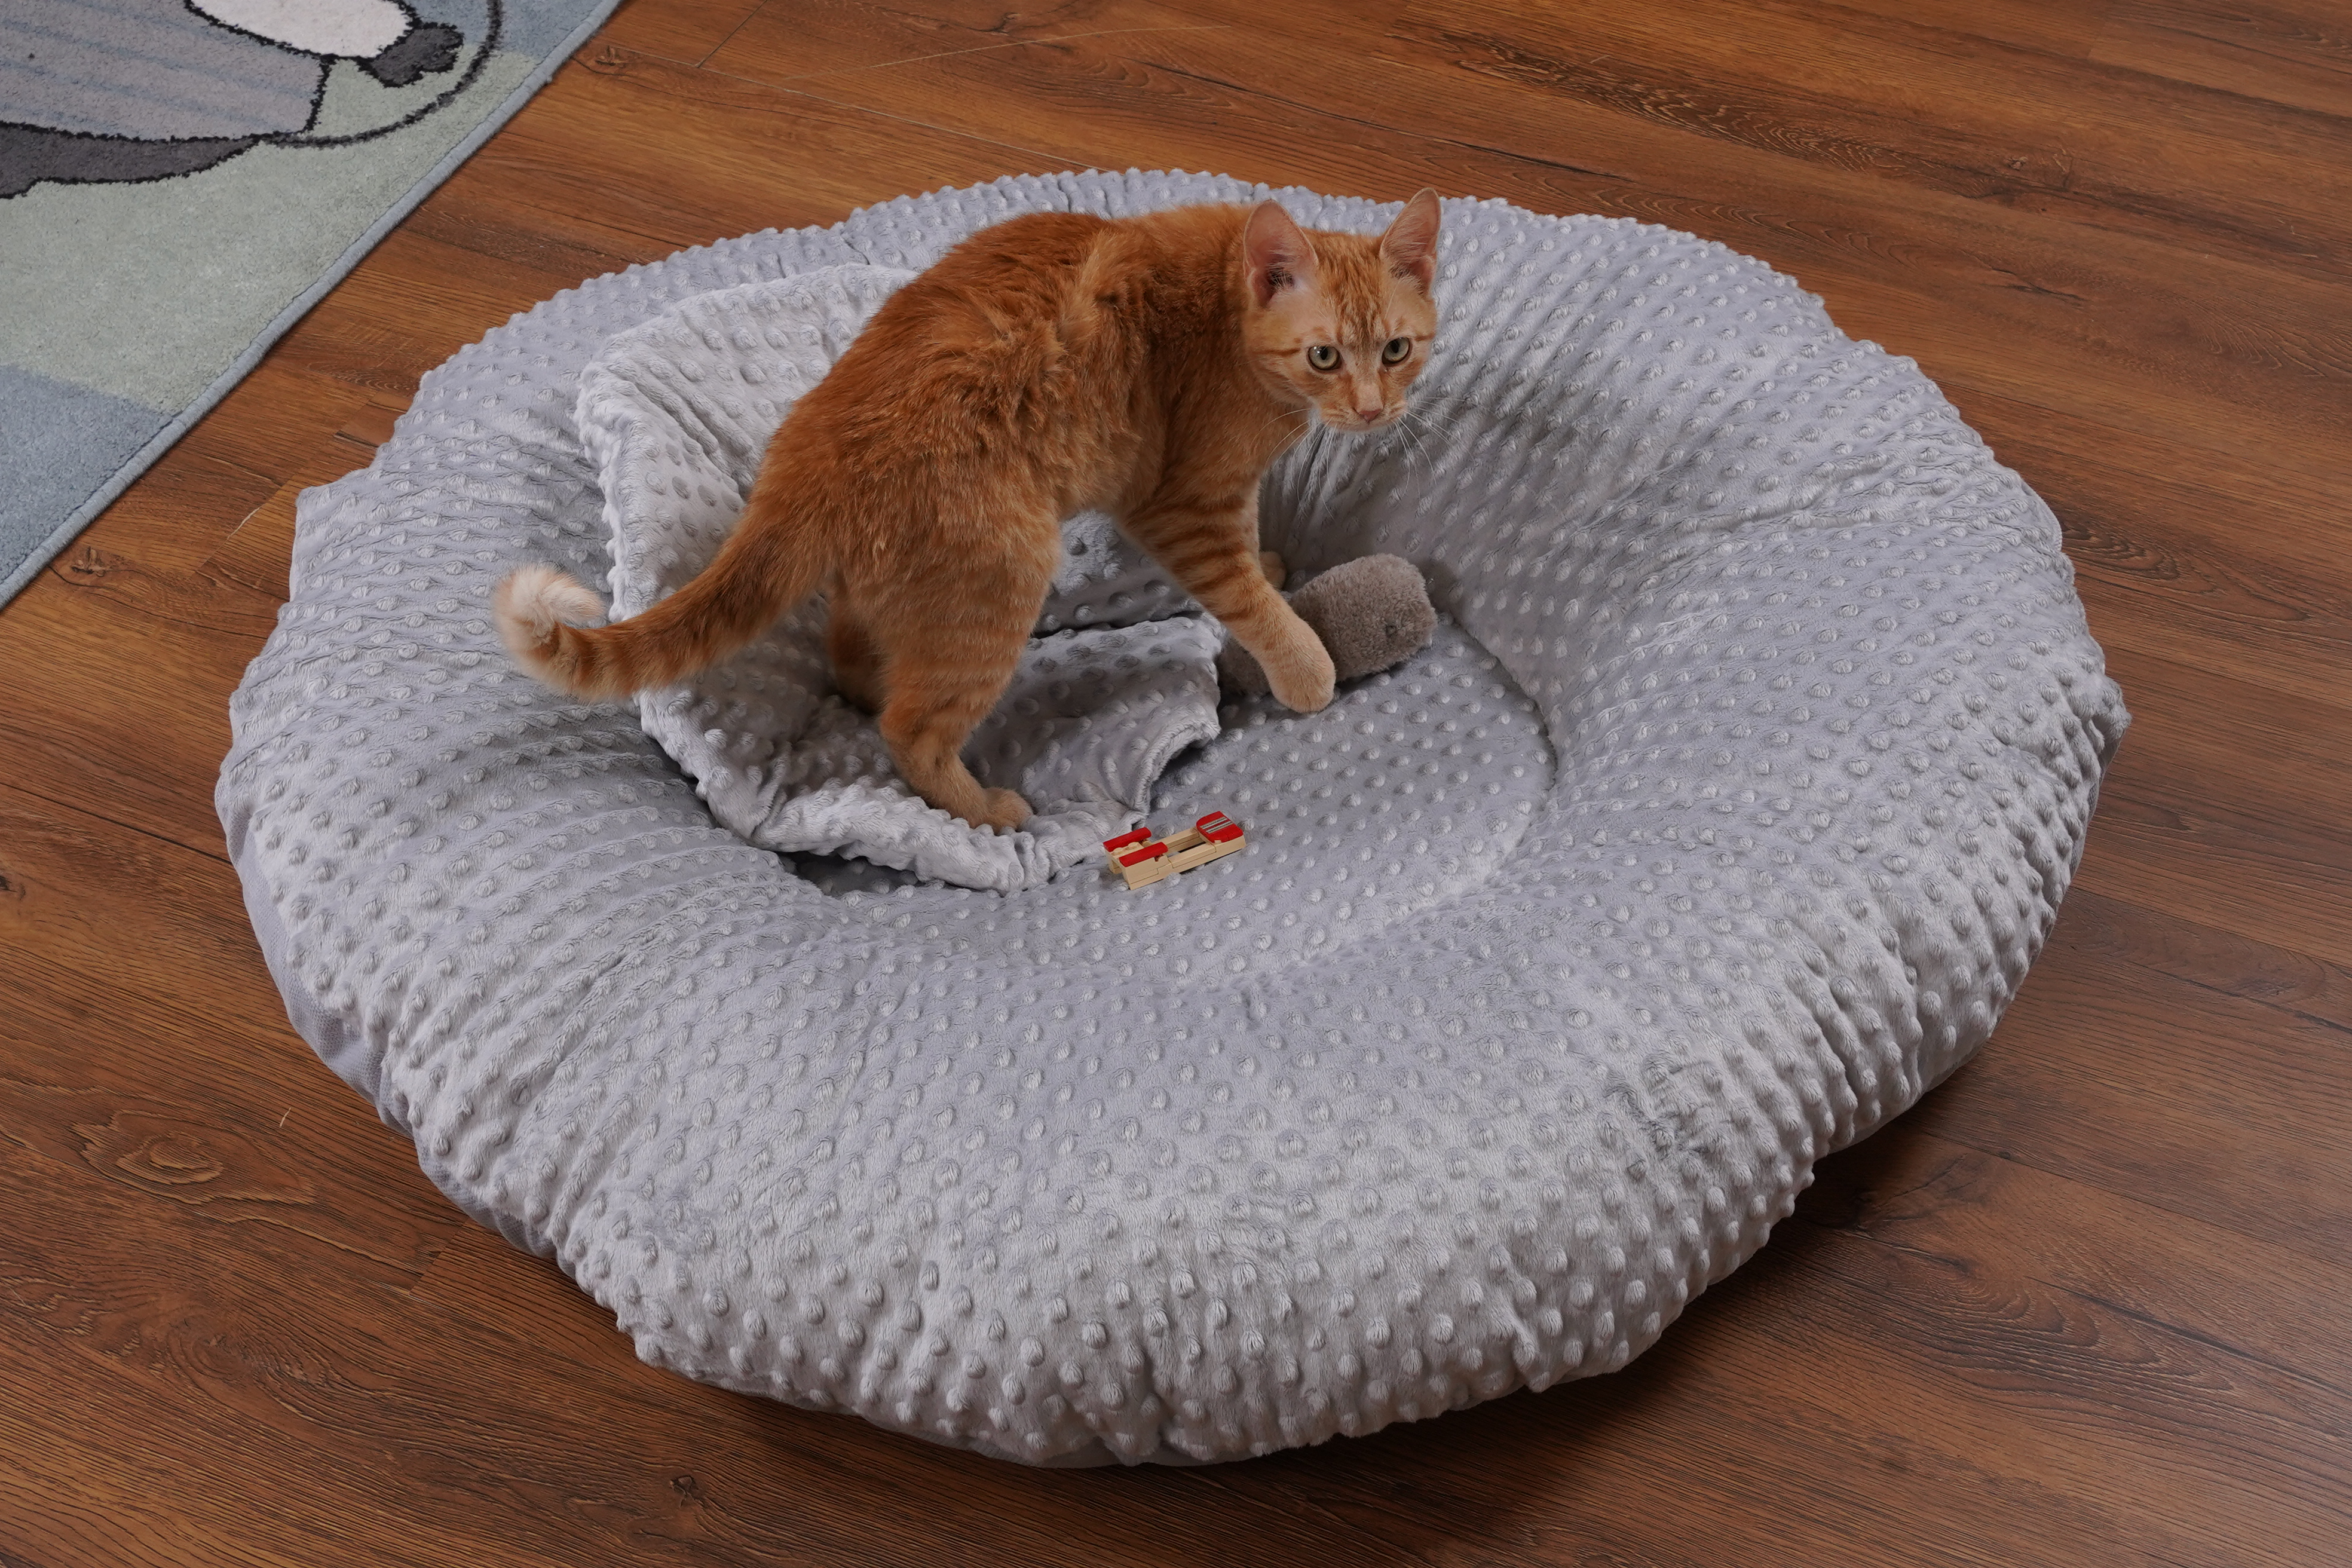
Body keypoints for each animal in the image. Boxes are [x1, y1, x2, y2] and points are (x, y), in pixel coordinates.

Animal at [495, 190, 1443, 833]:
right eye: (1326, 356)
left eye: (1397, 349)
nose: (1373, 410)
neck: (1225, 308)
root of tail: (807, 448)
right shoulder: (1181, 508)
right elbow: (1249, 598)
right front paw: (1305, 662)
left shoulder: (1220, 502)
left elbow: (1255, 563)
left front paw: (1279, 573)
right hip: (1002, 585)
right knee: (909, 729)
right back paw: (984, 811)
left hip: (902, 587)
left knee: (854, 656)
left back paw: (870, 682)